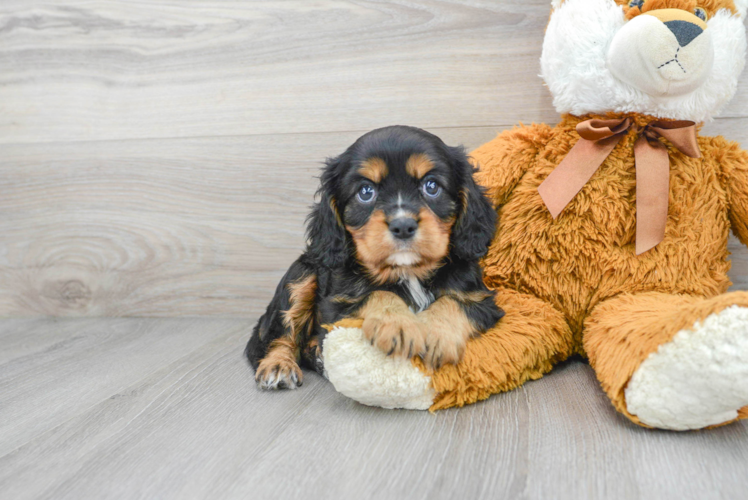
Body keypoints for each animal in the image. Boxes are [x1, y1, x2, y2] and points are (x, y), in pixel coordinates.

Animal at [244, 125, 502, 390]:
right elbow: (377, 293)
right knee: (278, 335)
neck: (407, 271)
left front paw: (434, 332)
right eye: (366, 192)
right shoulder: (336, 304)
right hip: (302, 273)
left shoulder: (481, 299)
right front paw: (397, 325)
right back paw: (279, 365)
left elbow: (452, 301)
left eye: (431, 186)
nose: (403, 226)